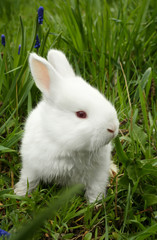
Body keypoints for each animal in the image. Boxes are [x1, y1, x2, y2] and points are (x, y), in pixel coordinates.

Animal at [14, 48, 119, 202]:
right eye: (81, 114)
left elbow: (95, 189)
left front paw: (95, 203)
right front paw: (20, 194)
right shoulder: (31, 167)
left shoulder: (98, 174)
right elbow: (29, 180)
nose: (113, 128)